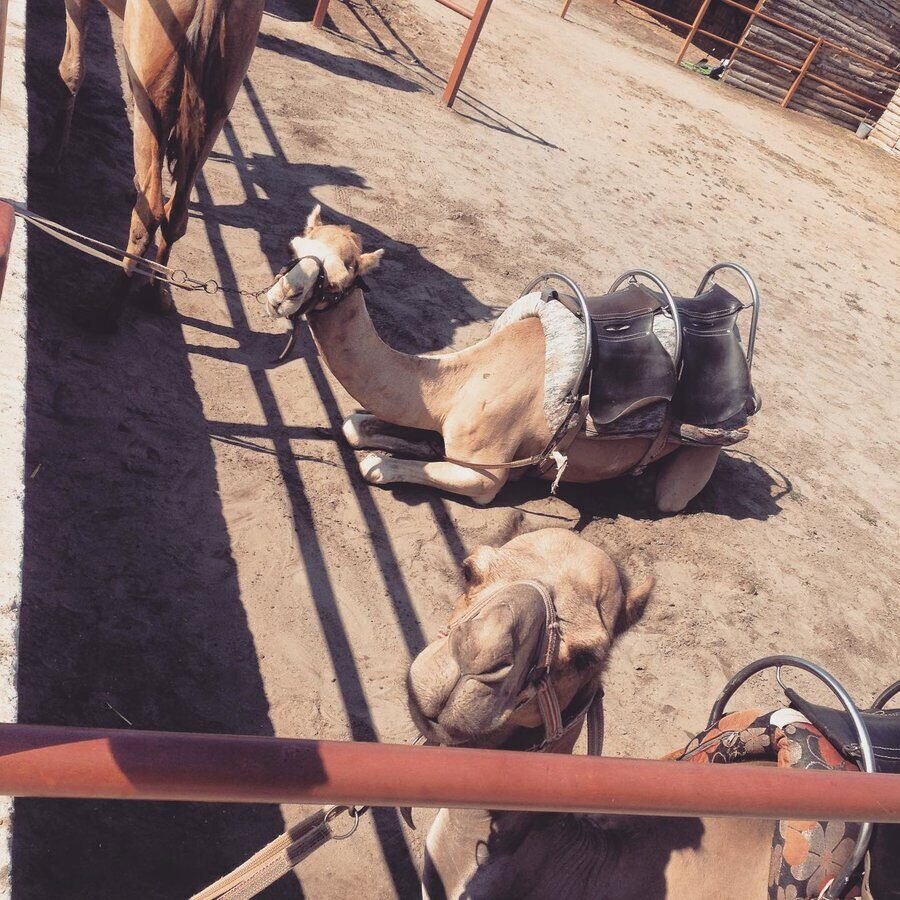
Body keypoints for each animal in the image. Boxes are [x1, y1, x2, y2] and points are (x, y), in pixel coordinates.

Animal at [53, 0, 265, 312]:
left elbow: (72, 70)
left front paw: (55, 161)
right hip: (218, 107)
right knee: (175, 213)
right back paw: (155, 291)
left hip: (151, 89)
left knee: (150, 212)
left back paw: (108, 306)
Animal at [267, 208, 724, 511]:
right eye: (294, 247)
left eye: (337, 278)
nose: (280, 297)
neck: (458, 383)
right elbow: (355, 426)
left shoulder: (485, 473)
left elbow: (376, 467)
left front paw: (384, 461)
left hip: (701, 456)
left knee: (670, 497)